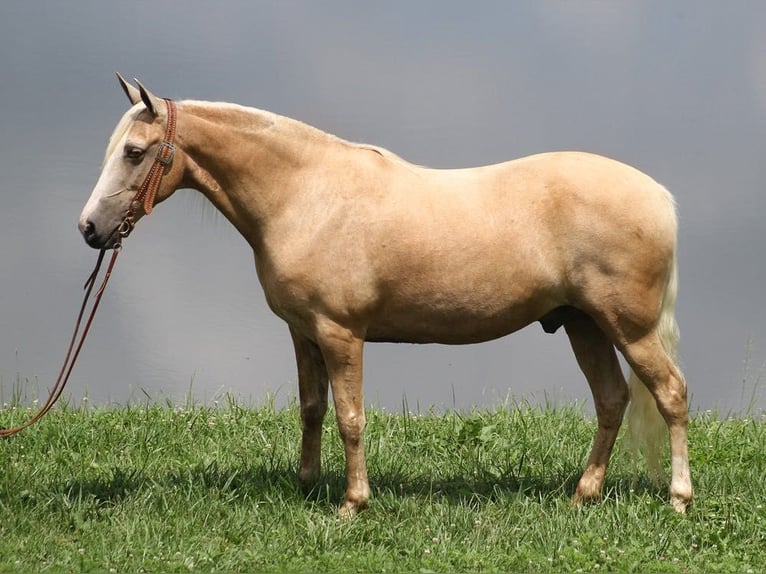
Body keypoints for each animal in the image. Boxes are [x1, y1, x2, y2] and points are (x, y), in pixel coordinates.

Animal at [79, 74, 696, 520]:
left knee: (669, 393)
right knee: (612, 400)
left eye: (134, 152)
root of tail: (659, 196)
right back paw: (583, 494)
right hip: (581, 323)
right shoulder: (302, 331)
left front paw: (353, 504)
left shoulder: (340, 332)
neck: (305, 196)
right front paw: (307, 485)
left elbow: (350, 417)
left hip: (627, 328)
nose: (89, 229)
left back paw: (679, 498)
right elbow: (312, 407)